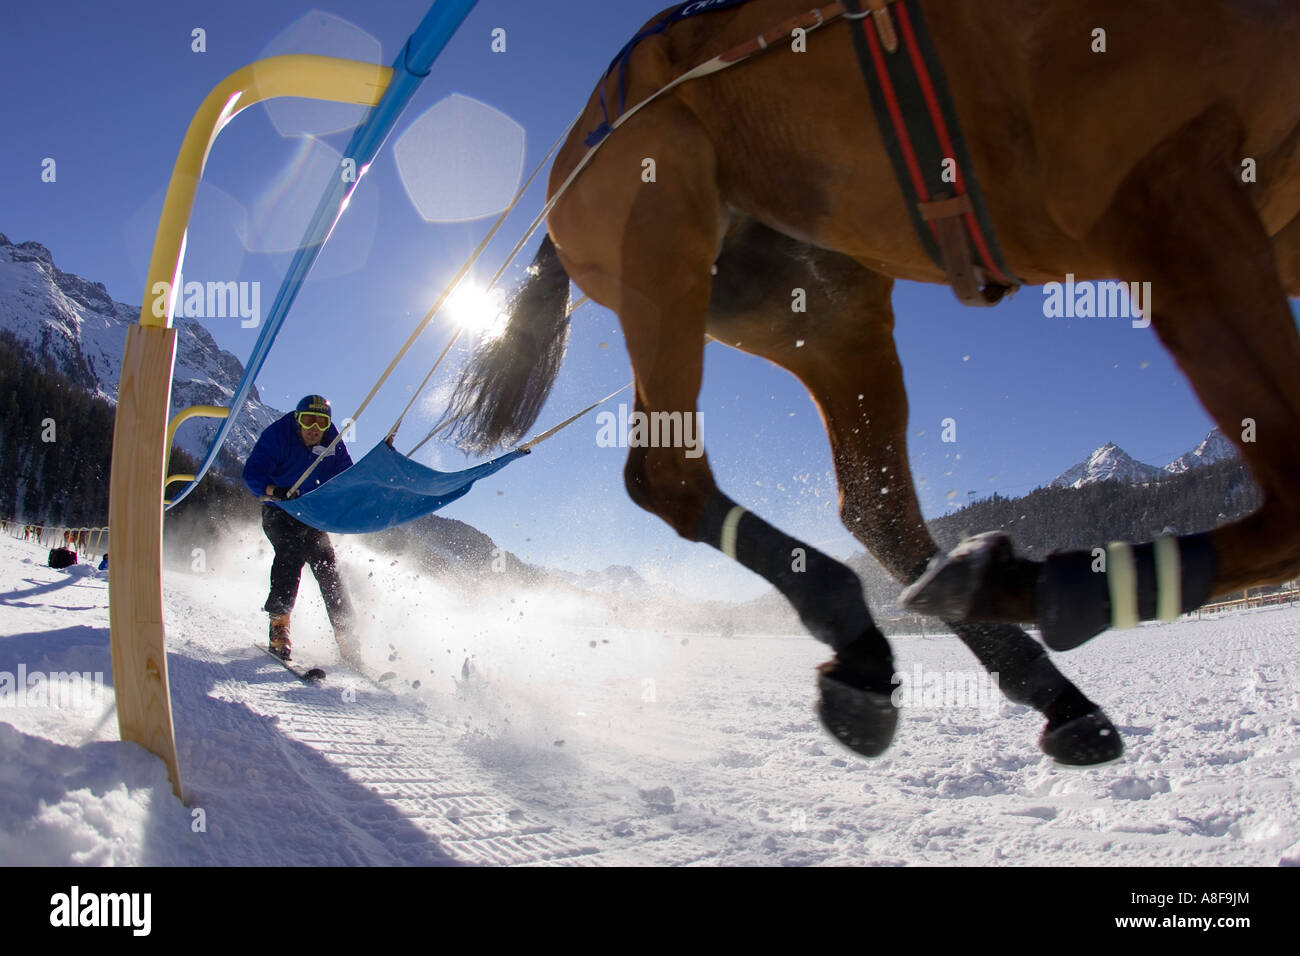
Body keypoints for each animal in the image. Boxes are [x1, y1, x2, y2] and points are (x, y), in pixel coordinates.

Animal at [441, 0, 1300, 763]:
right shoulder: (1158, 187)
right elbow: (1291, 504)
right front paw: (1068, 587)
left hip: (821, 308)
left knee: (874, 505)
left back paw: (1012, 673)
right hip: (662, 232)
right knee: (667, 475)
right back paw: (888, 621)